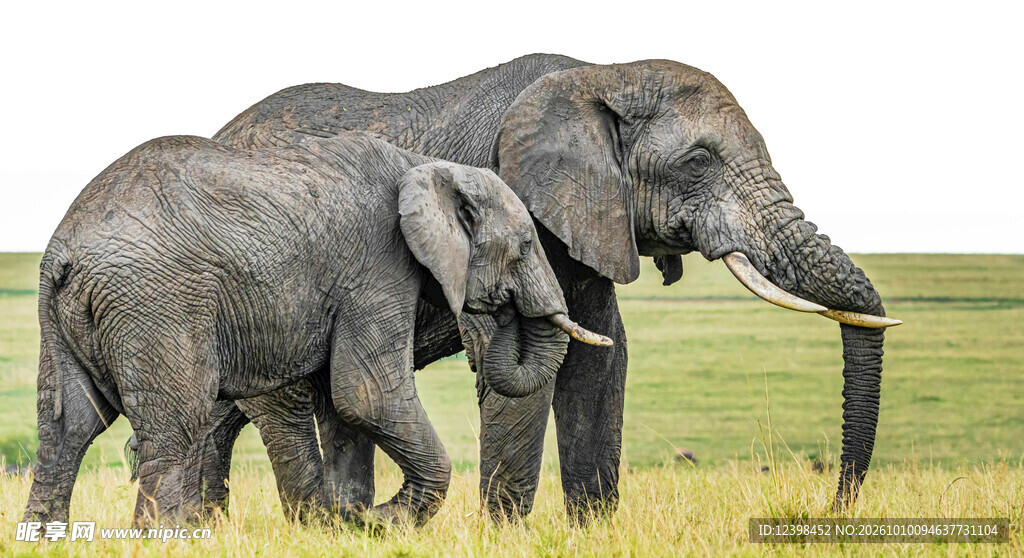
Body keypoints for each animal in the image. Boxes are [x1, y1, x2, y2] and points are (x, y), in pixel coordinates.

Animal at [23, 131, 611, 526]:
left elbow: (342, 404)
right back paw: (169, 539)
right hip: (157, 303)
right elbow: (366, 394)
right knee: (175, 425)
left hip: (65, 316)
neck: (426, 166)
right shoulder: (378, 264)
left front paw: (349, 522)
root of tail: (62, 249)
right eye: (528, 245)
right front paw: (376, 521)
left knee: (67, 426)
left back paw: (46, 536)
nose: (501, 311)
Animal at [133, 54, 899, 521]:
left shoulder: (587, 225)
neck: (603, 74)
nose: (831, 507)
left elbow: (600, 362)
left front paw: (592, 532)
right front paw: (505, 534)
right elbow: (521, 368)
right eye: (699, 161)